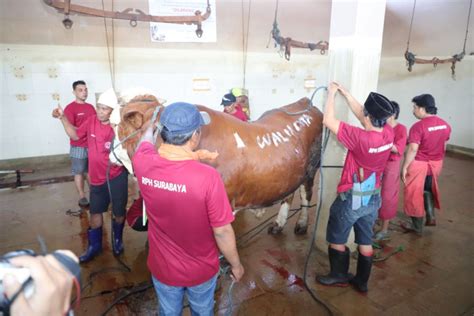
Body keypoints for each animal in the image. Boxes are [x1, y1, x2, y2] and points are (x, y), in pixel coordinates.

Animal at [117, 96, 324, 235]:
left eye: (118, 126)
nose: (111, 152)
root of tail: (306, 102)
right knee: (289, 194)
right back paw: (279, 224)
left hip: (312, 168)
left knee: (305, 195)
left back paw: (301, 224)